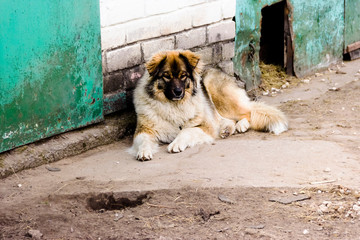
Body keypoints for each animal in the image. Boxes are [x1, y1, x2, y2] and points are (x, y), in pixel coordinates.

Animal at [129, 50, 286, 161]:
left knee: (247, 112)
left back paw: (241, 125)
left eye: (183, 75)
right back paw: (227, 130)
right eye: (166, 76)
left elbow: (185, 131)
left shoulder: (204, 126)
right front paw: (144, 152)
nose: (178, 92)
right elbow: (143, 140)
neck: (174, 105)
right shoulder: (144, 129)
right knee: (228, 119)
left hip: (215, 90)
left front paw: (176, 144)